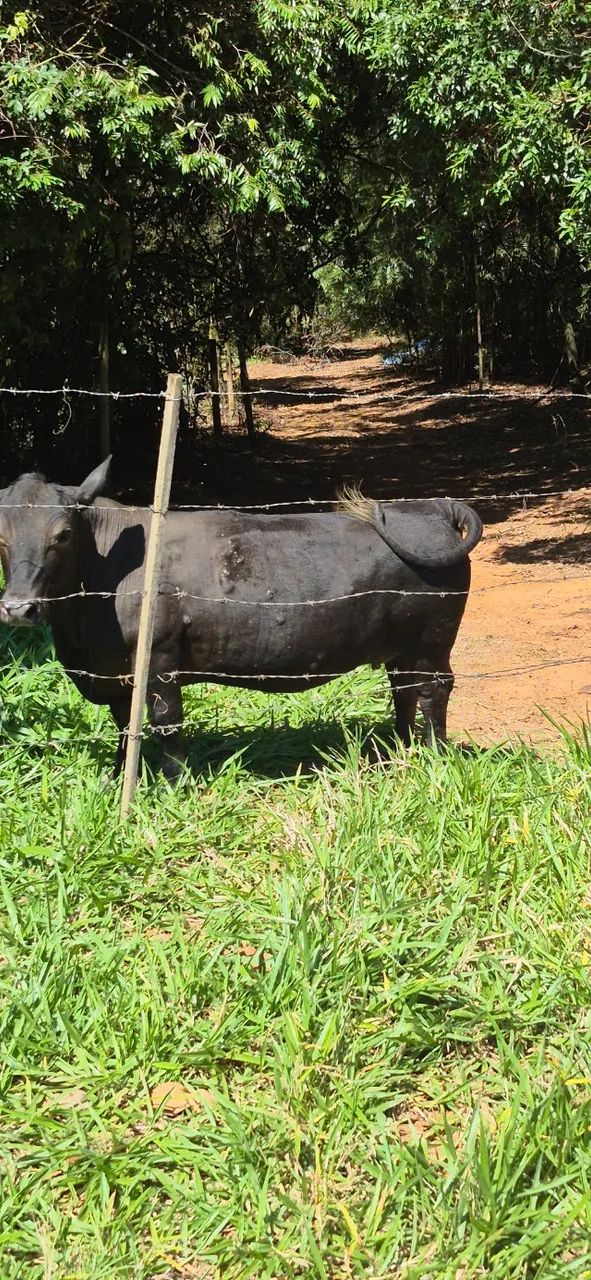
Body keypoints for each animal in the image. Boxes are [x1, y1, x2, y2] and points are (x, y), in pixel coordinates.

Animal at [0, 460, 482, 778]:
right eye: (1, 536)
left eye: (62, 534)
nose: (18, 608)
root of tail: (435, 507)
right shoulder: (116, 675)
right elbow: (124, 726)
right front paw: (119, 777)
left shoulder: (159, 661)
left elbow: (166, 724)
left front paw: (174, 784)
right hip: (403, 648)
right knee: (403, 691)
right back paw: (398, 749)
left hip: (433, 643)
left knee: (433, 692)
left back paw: (434, 756)